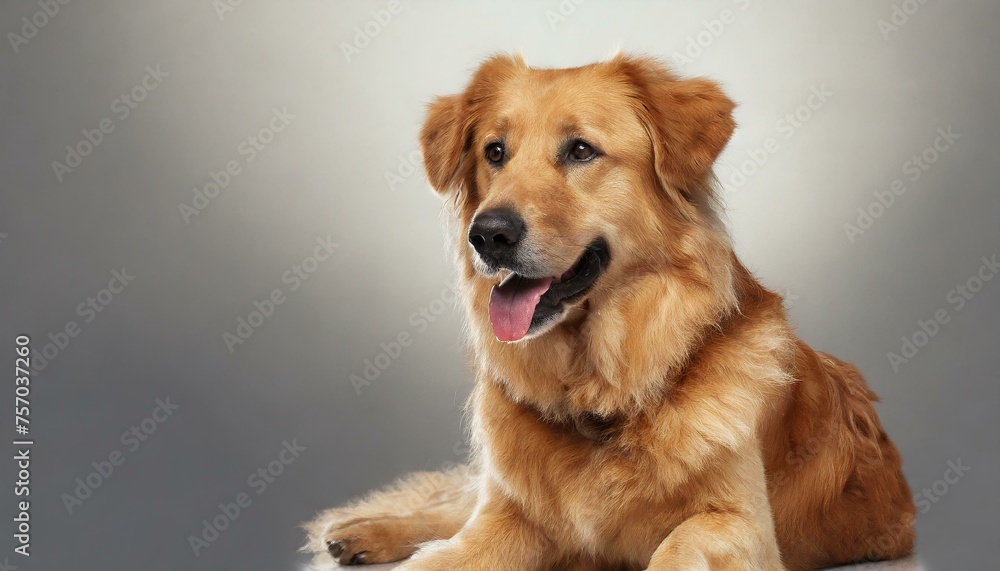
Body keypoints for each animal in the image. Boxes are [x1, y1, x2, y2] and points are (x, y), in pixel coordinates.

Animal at [302, 54, 916, 571]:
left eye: (580, 151)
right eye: (494, 152)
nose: (488, 234)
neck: (603, 391)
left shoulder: (741, 524)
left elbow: (678, 546)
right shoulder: (508, 517)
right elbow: (444, 554)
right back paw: (364, 529)